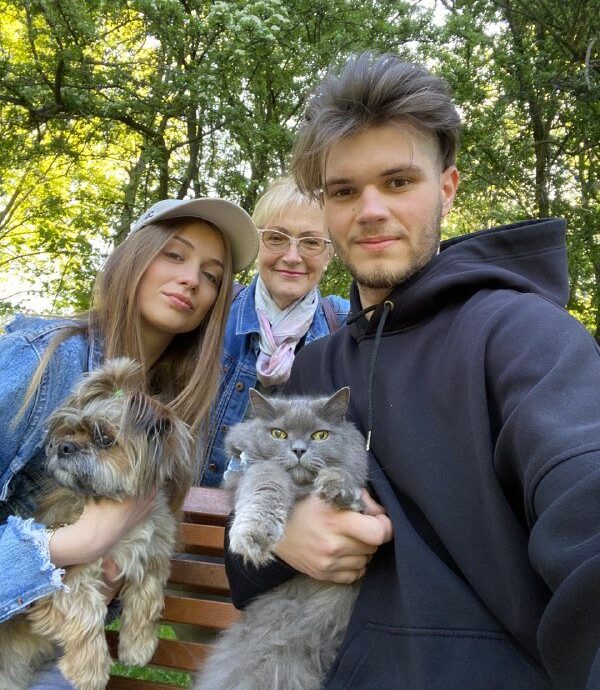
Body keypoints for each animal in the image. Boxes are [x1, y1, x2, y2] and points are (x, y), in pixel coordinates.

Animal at [195, 388, 368, 688]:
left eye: (320, 435)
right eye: (279, 434)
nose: (298, 450)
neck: (302, 489)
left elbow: (346, 476)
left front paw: (338, 486)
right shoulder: (250, 473)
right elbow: (267, 479)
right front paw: (254, 535)